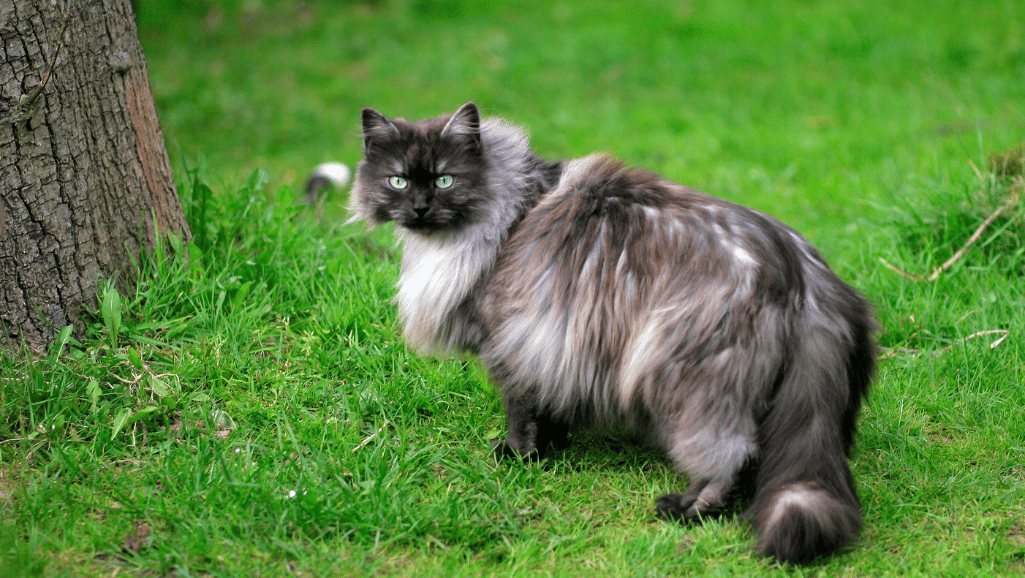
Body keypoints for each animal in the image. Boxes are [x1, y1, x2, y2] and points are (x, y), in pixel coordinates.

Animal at [344, 101, 873, 561]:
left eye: (445, 179)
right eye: (397, 180)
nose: (419, 208)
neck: (509, 207)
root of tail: (804, 274)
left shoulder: (509, 342)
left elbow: (520, 410)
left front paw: (518, 455)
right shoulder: (549, 344)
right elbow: (549, 406)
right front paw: (552, 447)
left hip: (690, 381)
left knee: (731, 456)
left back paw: (688, 509)